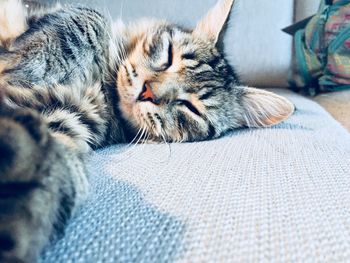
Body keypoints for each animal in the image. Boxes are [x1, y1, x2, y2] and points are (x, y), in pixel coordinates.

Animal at [0, 0, 296, 260]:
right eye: (169, 56)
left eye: (192, 108)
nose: (148, 92)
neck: (103, 85)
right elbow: (88, 19)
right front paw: (25, 64)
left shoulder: (70, 117)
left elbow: (56, 166)